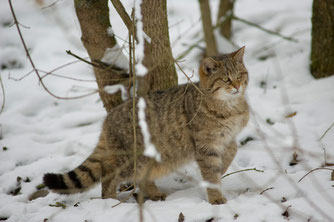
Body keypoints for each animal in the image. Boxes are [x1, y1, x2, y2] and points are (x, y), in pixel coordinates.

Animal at [43, 46, 248, 205]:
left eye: (240, 75)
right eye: (226, 79)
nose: (237, 86)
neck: (230, 107)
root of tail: (109, 117)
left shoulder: (228, 138)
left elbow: (233, 151)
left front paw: (223, 168)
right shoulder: (206, 146)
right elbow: (211, 173)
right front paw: (216, 198)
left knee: (140, 178)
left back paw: (154, 194)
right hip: (131, 160)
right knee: (109, 174)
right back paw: (110, 201)